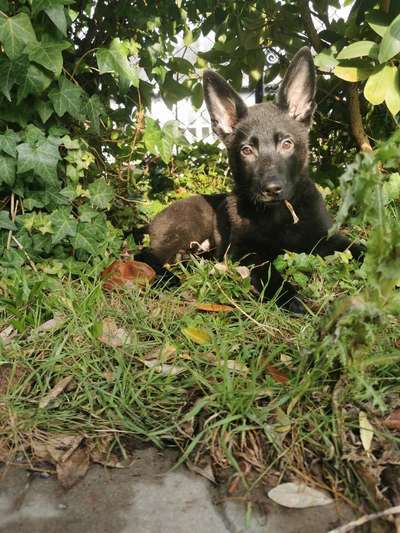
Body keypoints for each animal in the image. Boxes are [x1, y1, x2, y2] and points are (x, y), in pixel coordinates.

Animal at [136, 47, 364, 314]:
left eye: (287, 144)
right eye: (246, 150)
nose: (272, 189)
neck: (279, 213)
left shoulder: (327, 238)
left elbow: (358, 247)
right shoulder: (244, 251)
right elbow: (266, 269)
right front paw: (288, 294)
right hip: (187, 226)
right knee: (146, 253)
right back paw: (167, 277)